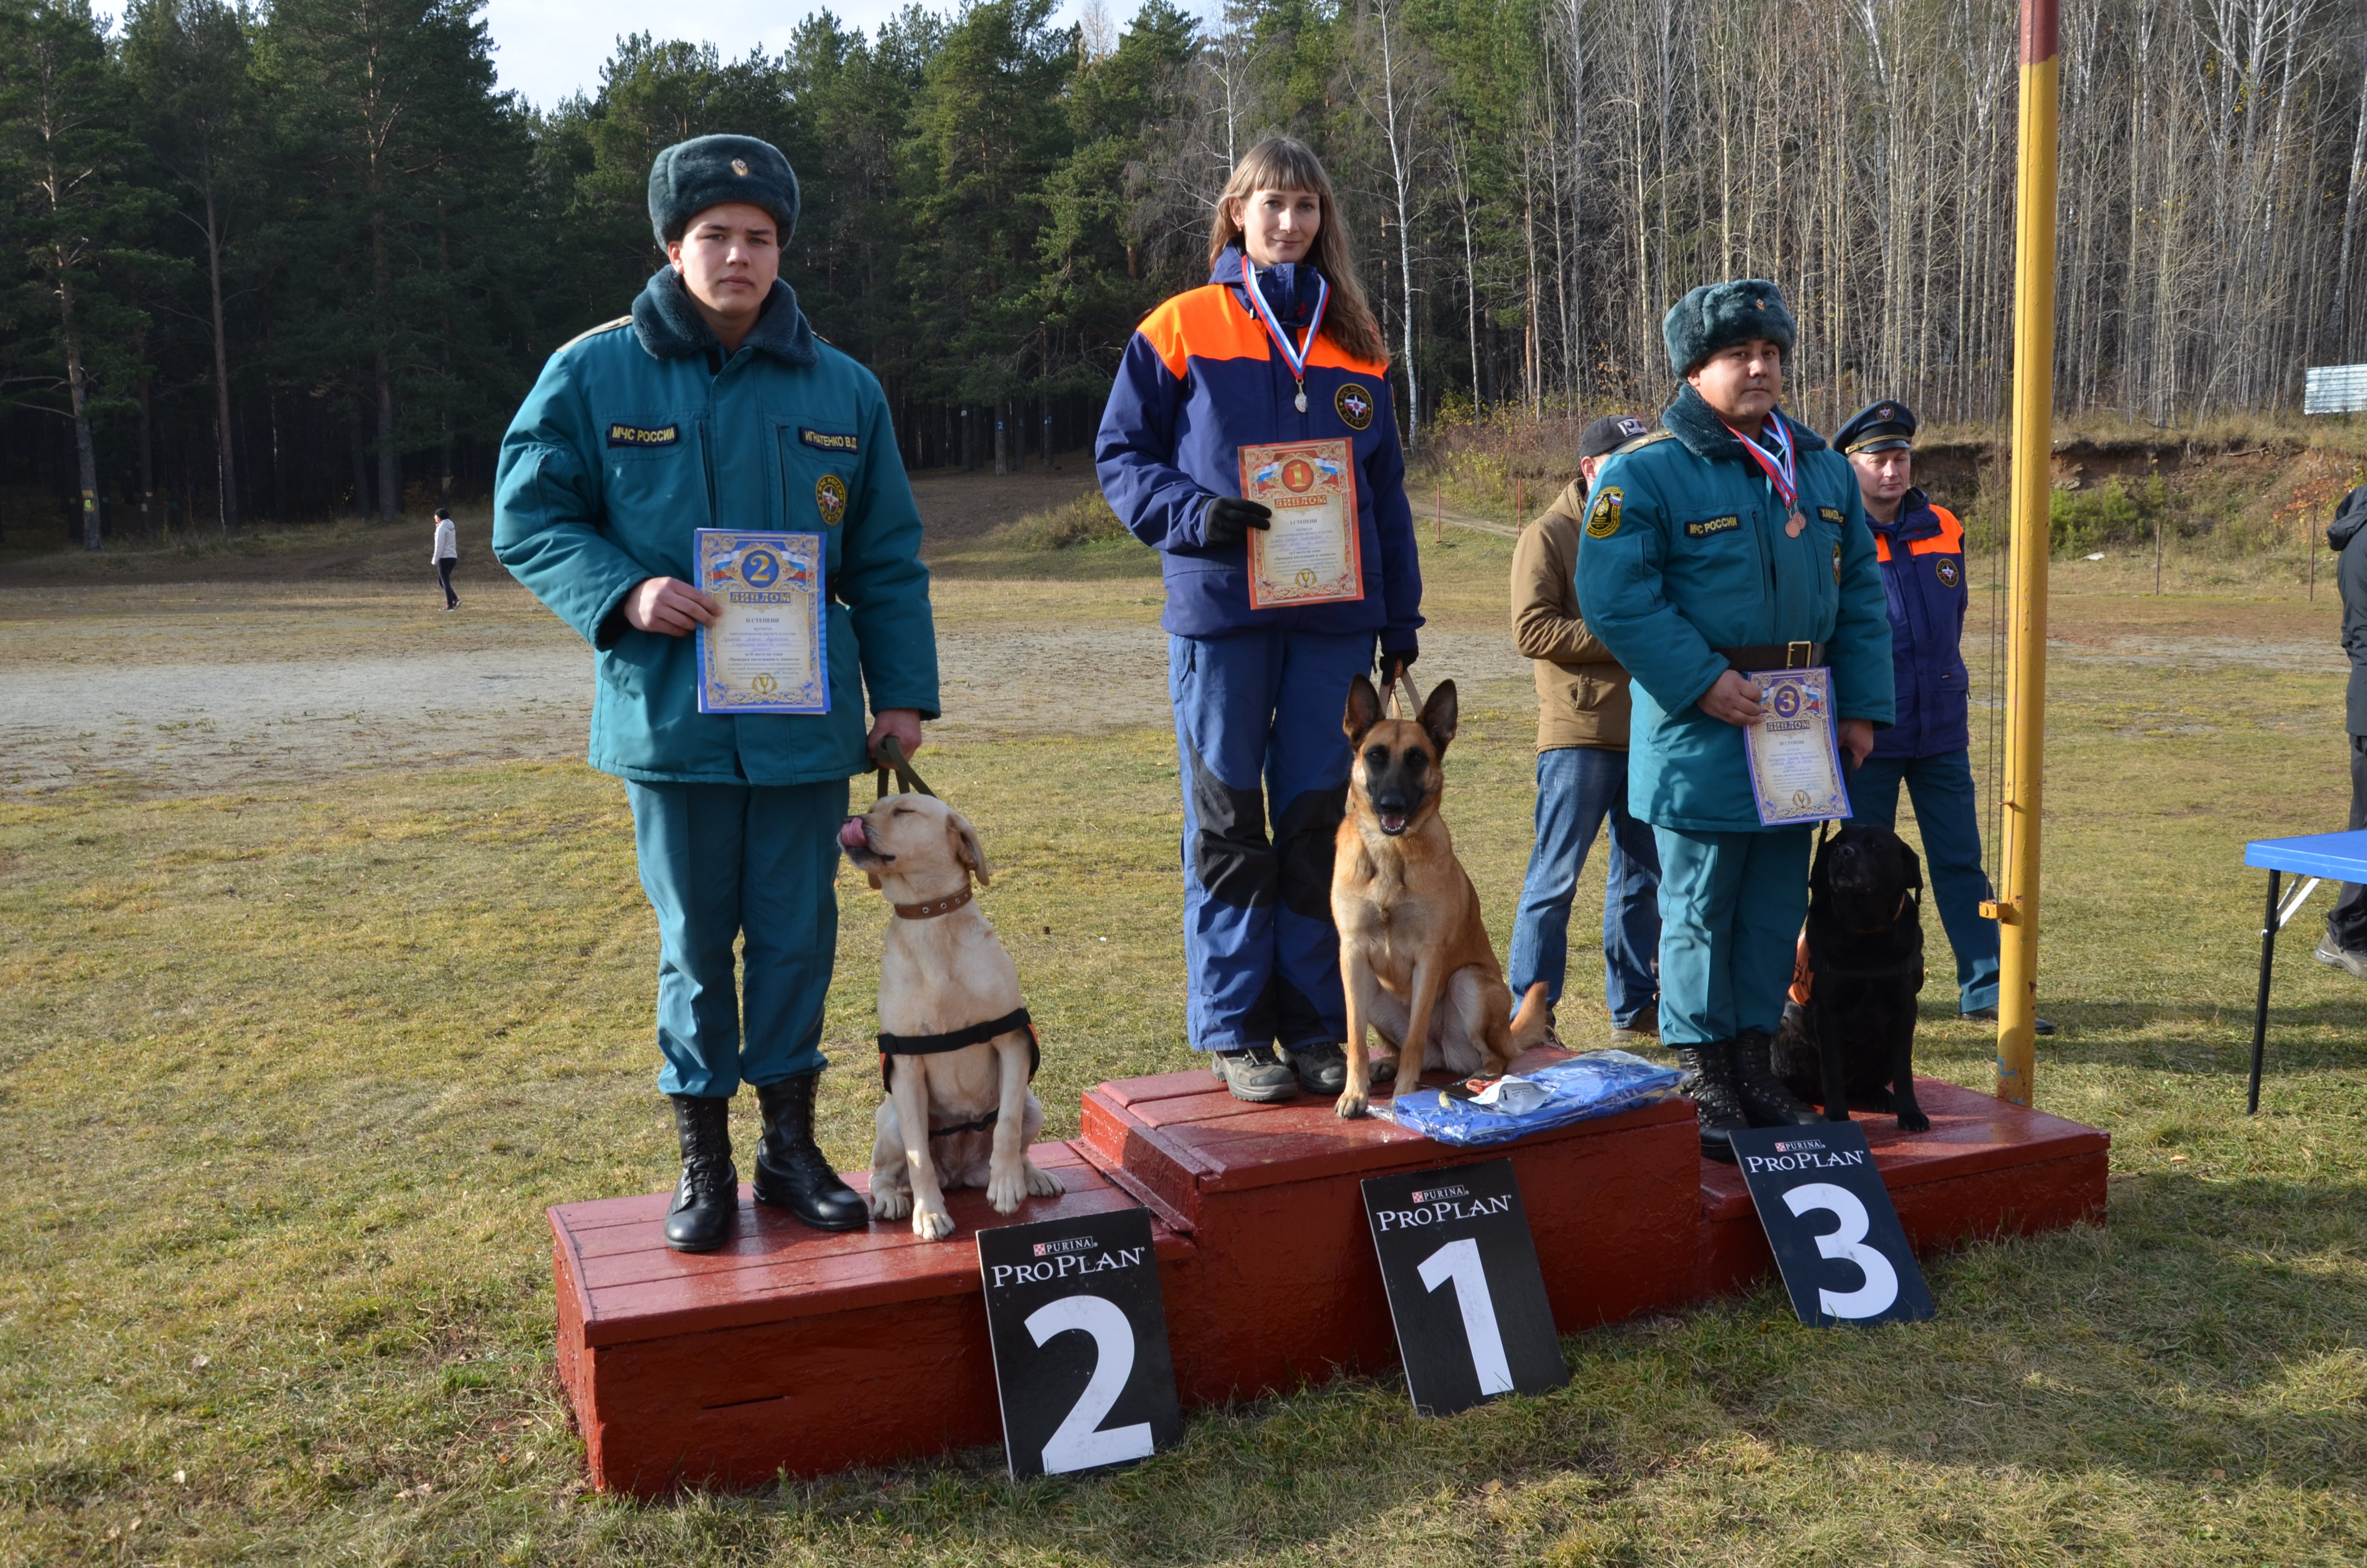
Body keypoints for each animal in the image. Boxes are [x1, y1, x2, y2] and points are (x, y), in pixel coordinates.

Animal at [833, 801, 1056, 1241]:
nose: (849, 820)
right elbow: (919, 1156)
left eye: (903, 810)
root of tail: (959, 1173)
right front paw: (929, 1213)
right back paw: (893, 1198)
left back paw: (1031, 1175)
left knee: (1020, 1140)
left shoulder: (1012, 1044)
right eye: (872, 807)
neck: (930, 922)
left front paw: (1007, 1183)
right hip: (890, 1121)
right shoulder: (906, 1066)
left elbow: (1006, 1126)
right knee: (880, 1173)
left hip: (1033, 1104)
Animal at [1335, 677, 1553, 1118]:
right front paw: (1355, 1091)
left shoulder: (1429, 958)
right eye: (1376, 756)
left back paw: (1484, 1079)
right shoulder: (1352, 955)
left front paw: (1404, 1096)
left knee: (1493, 1056)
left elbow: (1416, 1036)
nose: (1392, 804)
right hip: (1374, 991)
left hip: (1468, 982)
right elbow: (1355, 1037)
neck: (1390, 854)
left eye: (1417, 759)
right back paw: (1387, 1063)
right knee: (1411, 1049)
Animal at [1771, 824, 1931, 1132]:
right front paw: (1836, 1117)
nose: (1842, 853)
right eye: (1837, 843)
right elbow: (1832, 1070)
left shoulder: (1905, 1008)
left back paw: (1881, 1096)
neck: (1866, 932)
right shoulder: (1828, 1012)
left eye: (1874, 845)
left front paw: (1910, 1113)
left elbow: (1904, 1070)